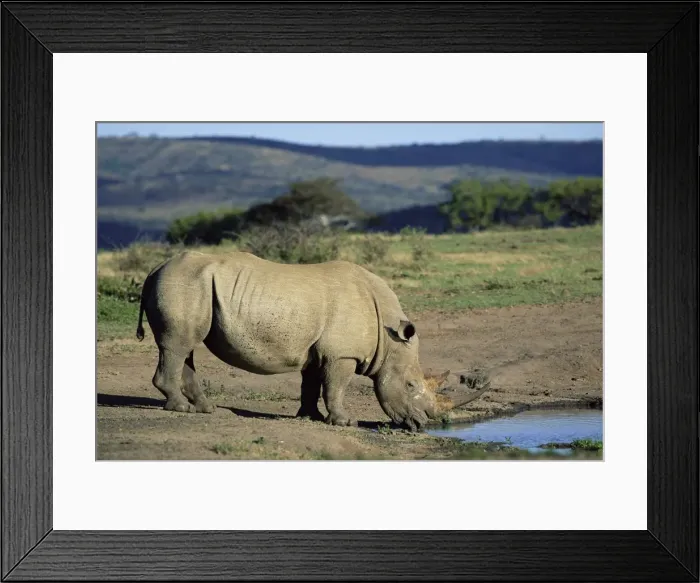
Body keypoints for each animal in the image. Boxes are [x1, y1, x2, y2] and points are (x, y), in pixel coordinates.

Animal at [135, 250, 489, 431]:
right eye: (411, 385)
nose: (422, 425)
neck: (389, 339)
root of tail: (155, 269)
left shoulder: (319, 351)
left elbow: (312, 383)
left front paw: (310, 417)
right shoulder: (342, 354)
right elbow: (336, 386)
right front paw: (344, 422)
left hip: (188, 285)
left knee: (186, 347)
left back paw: (206, 409)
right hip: (182, 284)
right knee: (178, 345)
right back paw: (181, 408)